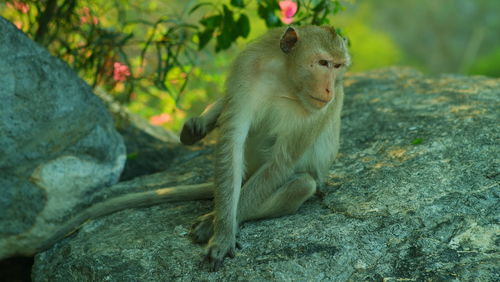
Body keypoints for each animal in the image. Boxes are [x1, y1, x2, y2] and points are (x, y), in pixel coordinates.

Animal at [35, 25, 350, 272]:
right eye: (323, 63)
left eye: (338, 67)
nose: (329, 89)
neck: (286, 79)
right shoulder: (249, 68)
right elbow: (231, 143)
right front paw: (221, 231)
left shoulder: (320, 110)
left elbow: (281, 163)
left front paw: (216, 230)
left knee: (302, 183)